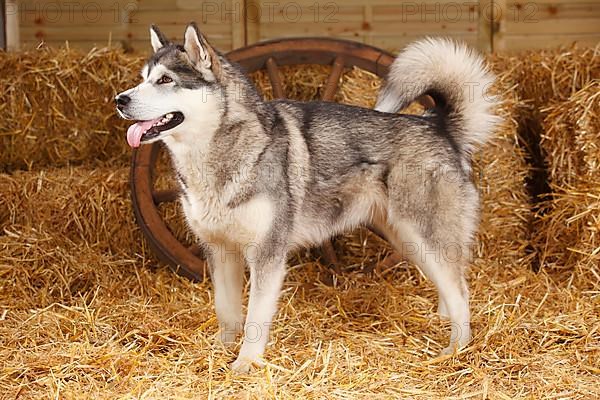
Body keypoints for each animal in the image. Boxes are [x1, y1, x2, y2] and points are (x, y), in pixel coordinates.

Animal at [116, 23, 496, 374]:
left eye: (165, 80)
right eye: (143, 79)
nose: (120, 99)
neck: (216, 155)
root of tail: (440, 127)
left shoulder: (267, 255)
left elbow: (255, 319)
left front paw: (245, 364)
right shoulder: (220, 251)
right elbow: (227, 311)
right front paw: (220, 351)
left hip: (424, 234)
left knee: (461, 289)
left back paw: (456, 349)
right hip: (407, 238)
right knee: (450, 282)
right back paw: (442, 322)